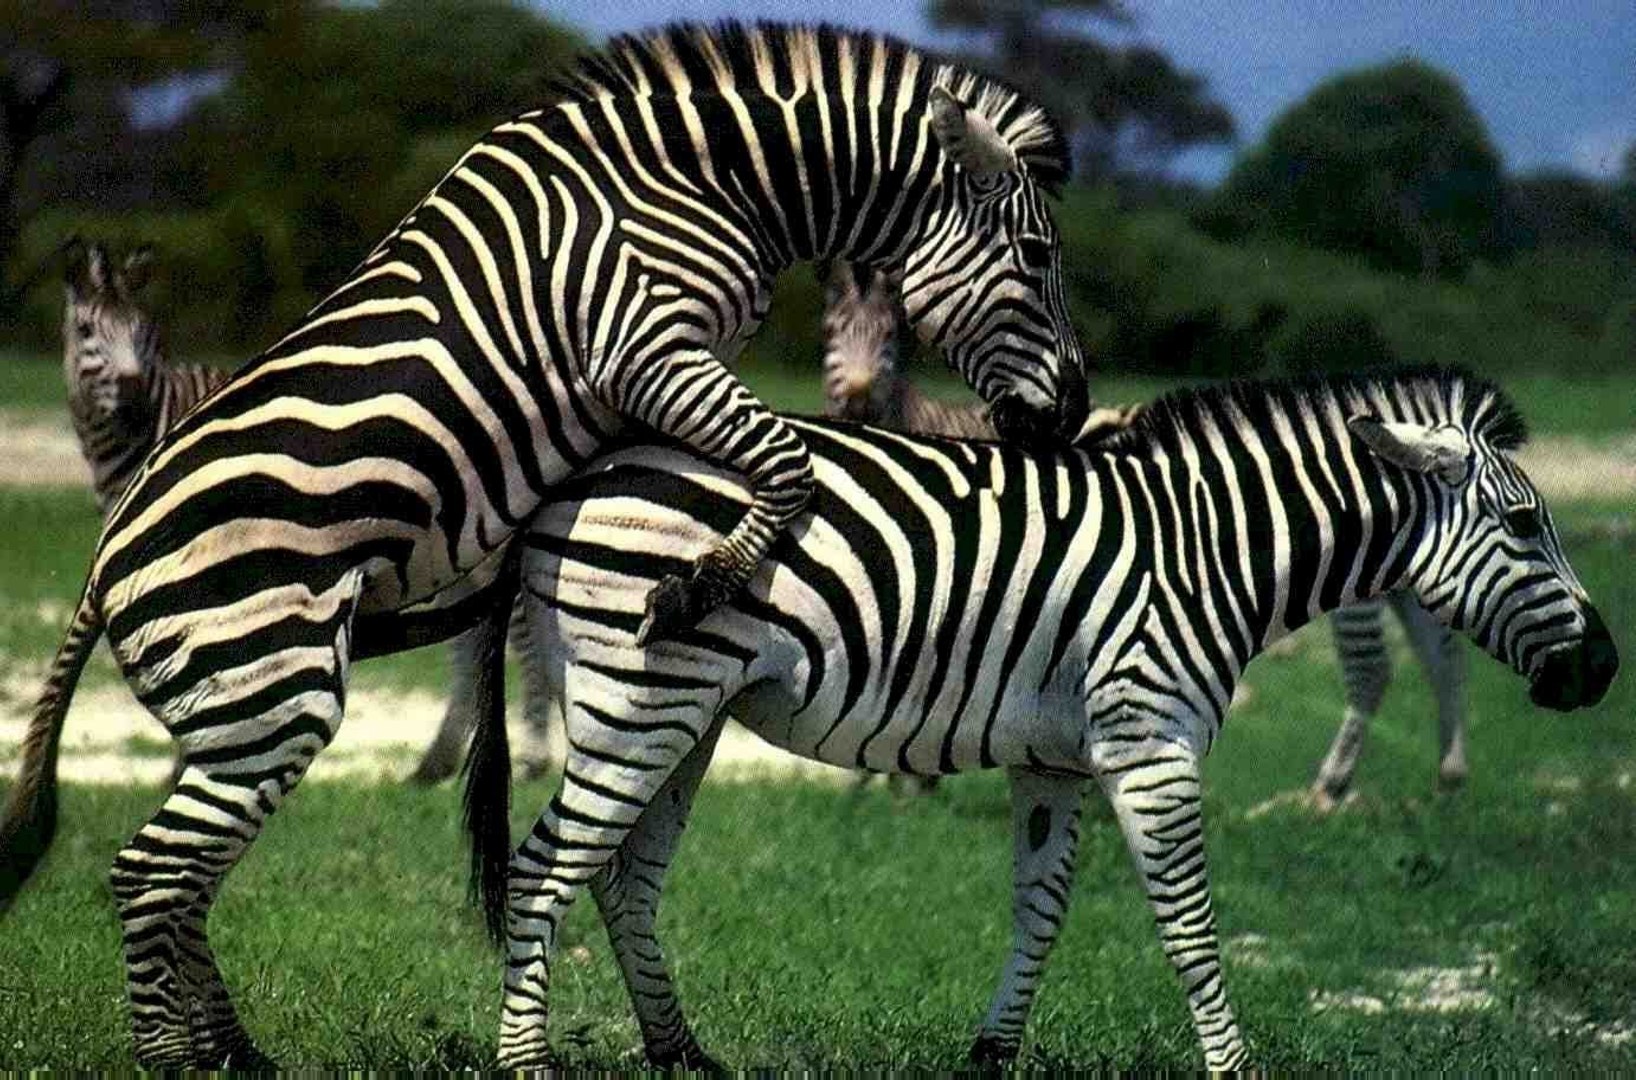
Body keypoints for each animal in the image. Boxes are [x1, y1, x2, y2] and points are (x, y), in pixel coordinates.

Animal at [0, 22, 1087, 1067]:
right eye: (1038, 258)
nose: (1074, 415)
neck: (706, 179)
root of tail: (103, 563)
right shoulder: (644, 350)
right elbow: (786, 462)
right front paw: (698, 584)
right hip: (269, 688)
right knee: (151, 874)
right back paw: (175, 1058)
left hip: (239, 711)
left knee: (183, 878)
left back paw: (235, 1053)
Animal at [477, 366, 1614, 1069]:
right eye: (1524, 523)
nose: (1603, 670)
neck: (1207, 550)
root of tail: (579, 474)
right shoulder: (1151, 745)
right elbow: (1190, 923)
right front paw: (1231, 1065)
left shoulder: (1057, 759)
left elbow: (1040, 909)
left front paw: (992, 1052)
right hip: (639, 696)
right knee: (542, 869)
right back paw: (528, 1063)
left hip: (690, 710)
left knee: (623, 878)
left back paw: (680, 1052)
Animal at [817, 261, 1471, 809]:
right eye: (831, 332)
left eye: (891, 340)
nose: (855, 399)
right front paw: (895, 777)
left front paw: (894, 780)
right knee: (1442, 654)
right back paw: (1447, 778)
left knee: (1373, 669)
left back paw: (1331, 787)